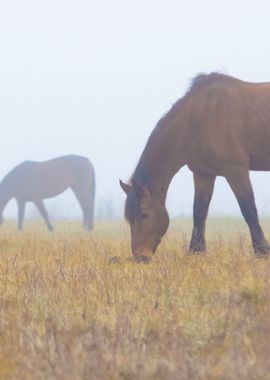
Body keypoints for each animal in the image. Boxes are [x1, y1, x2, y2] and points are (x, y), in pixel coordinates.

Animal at [121, 72, 270, 258]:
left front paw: (262, 250)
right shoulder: (203, 173)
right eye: (129, 218)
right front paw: (196, 250)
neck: (200, 118)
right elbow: (199, 211)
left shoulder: (236, 170)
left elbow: (248, 209)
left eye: (144, 214)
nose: (140, 256)